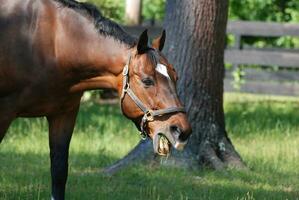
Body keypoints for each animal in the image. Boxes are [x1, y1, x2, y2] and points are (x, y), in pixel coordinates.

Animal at [0, 0, 192, 199]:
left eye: (175, 77)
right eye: (147, 80)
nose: (182, 130)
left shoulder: (64, 114)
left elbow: (59, 171)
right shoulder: (4, 113)